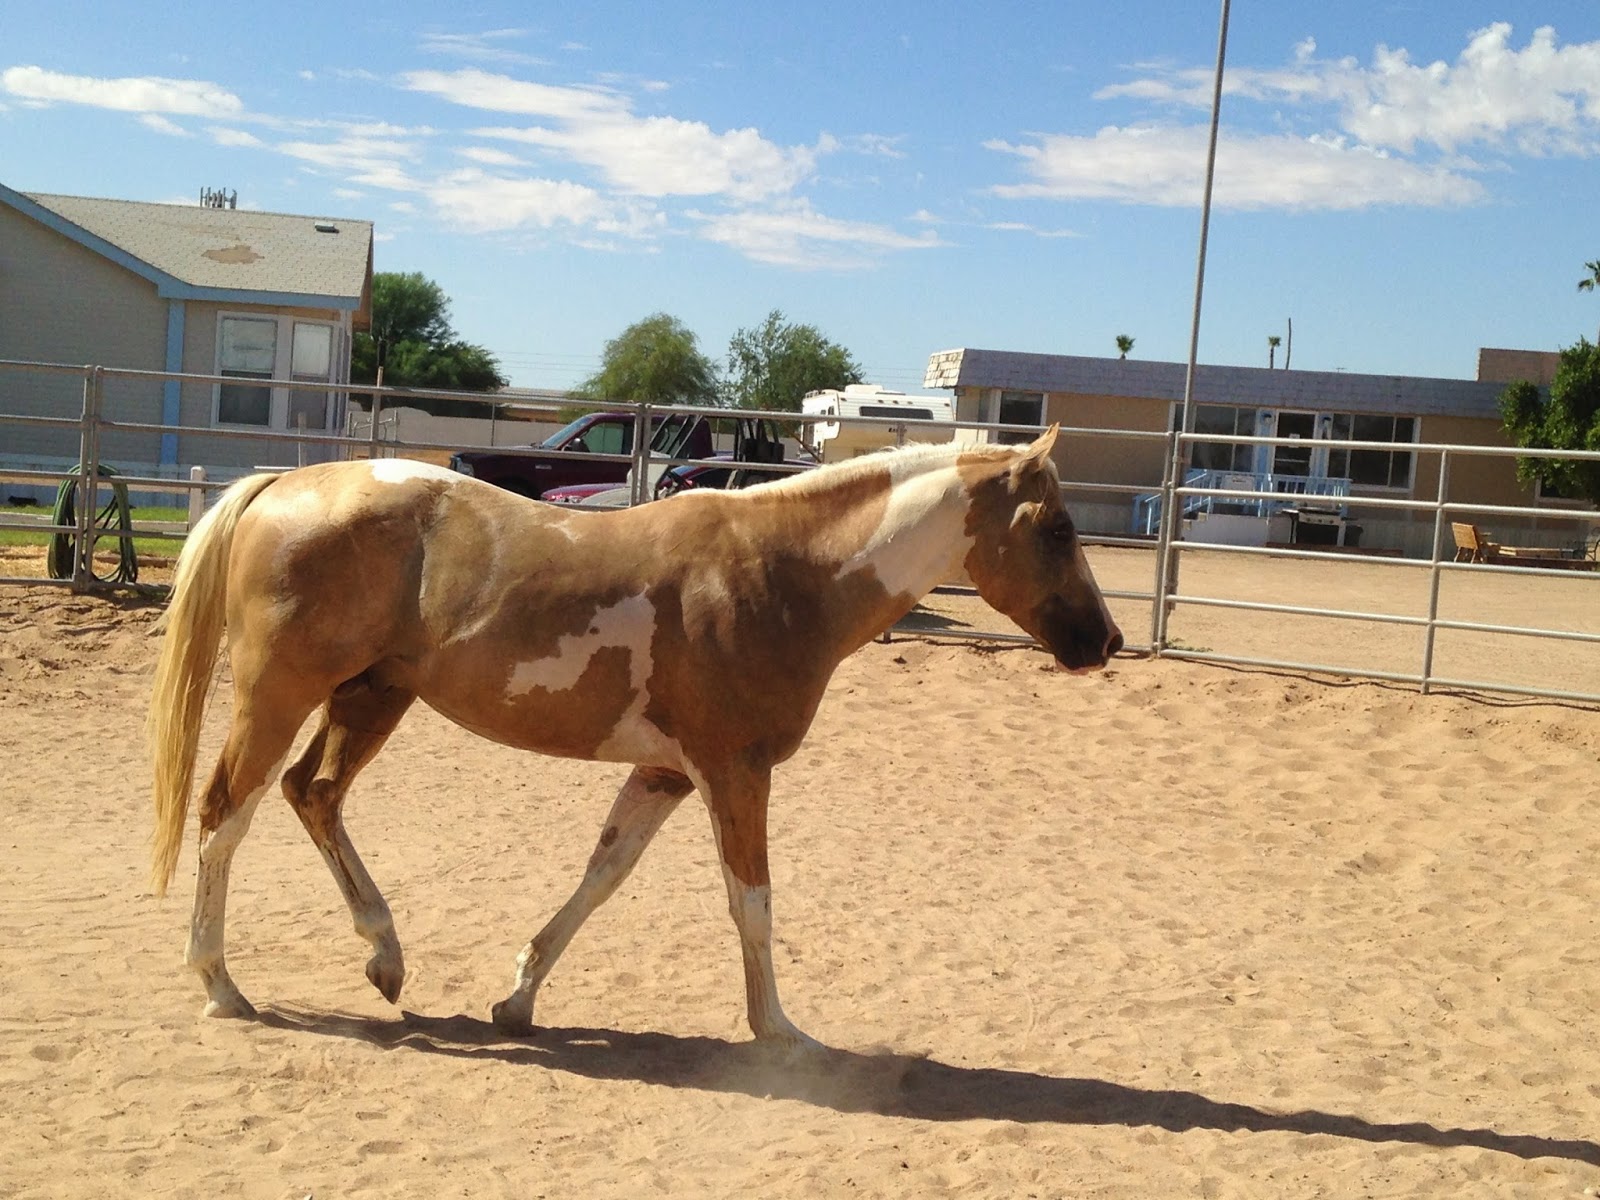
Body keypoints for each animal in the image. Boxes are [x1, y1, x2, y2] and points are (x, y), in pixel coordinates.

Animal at [148, 426, 1123, 1048]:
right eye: (1060, 527)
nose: (1106, 642)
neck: (781, 575)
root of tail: (281, 488)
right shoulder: (737, 773)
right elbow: (753, 904)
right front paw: (778, 1030)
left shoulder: (668, 775)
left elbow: (602, 878)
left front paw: (518, 998)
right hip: (282, 697)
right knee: (227, 812)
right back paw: (219, 985)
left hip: (371, 699)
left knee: (311, 795)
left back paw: (384, 958)